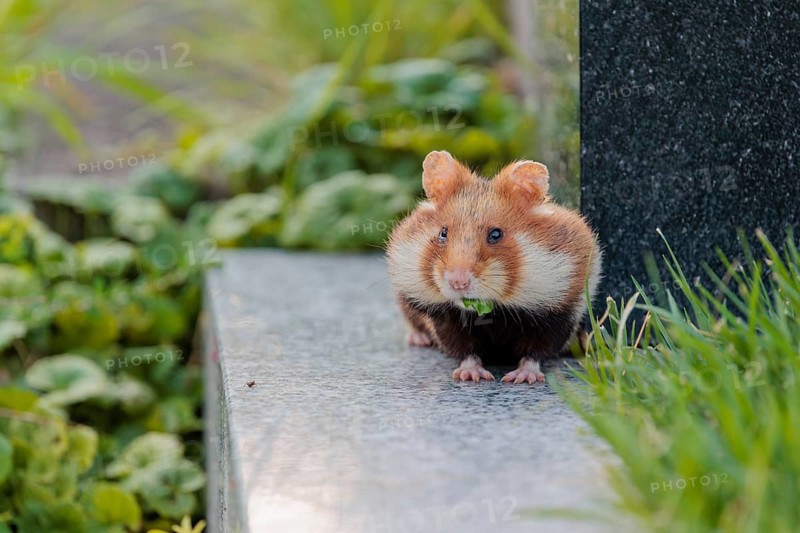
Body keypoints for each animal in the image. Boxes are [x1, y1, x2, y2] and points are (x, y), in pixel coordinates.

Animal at [386, 150, 602, 384]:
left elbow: (537, 351)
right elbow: (464, 349)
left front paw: (521, 378)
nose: (457, 283)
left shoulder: (560, 312)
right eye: (443, 233)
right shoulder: (446, 319)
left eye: (496, 234)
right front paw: (470, 376)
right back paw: (419, 339)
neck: (497, 308)